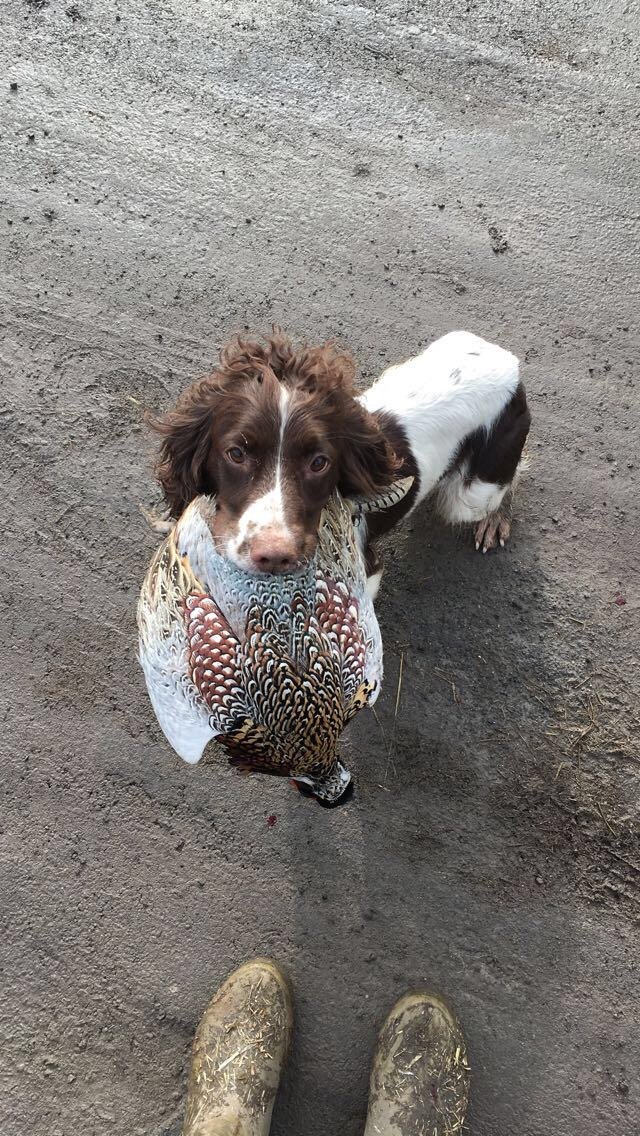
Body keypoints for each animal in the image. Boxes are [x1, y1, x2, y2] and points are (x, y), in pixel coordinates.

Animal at [151, 329, 532, 595]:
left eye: (319, 462)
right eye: (237, 453)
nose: (273, 556)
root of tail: (506, 360)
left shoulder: (368, 570)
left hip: (472, 491)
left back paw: (495, 521)